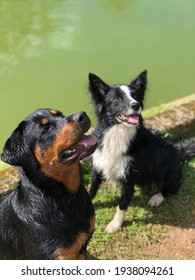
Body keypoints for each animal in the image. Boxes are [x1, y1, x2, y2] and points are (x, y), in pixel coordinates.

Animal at [88, 70, 195, 234]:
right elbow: (92, 189)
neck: (117, 132)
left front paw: (115, 225)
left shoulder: (129, 176)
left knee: (173, 188)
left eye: (135, 96)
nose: (136, 105)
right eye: (117, 98)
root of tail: (179, 154)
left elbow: (122, 204)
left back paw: (156, 198)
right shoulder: (98, 166)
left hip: (168, 173)